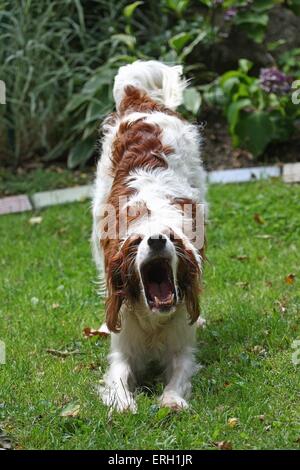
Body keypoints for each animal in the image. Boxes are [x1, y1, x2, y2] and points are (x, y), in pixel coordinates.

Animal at [92, 59, 206, 412]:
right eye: (138, 242)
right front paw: (124, 403)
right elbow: (119, 376)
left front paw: (170, 400)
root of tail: (137, 101)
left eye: (169, 236)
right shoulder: (123, 350)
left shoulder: (181, 350)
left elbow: (178, 375)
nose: (156, 240)